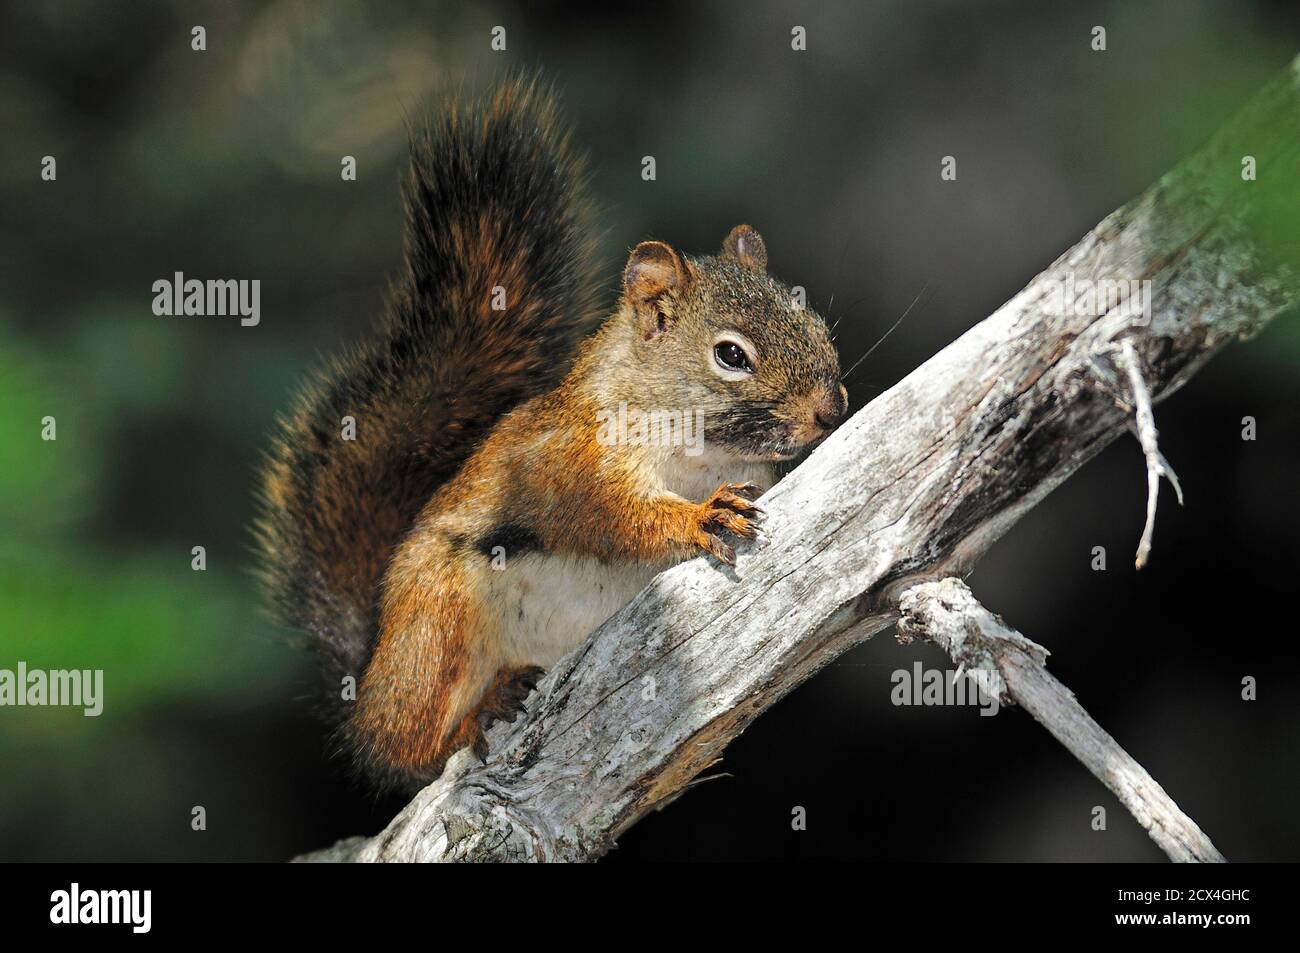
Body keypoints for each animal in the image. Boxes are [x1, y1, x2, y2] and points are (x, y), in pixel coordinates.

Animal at [255, 77, 847, 793]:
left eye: (812, 318)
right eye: (730, 355)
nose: (831, 409)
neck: (700, 450)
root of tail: (369, 678)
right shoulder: (572, 462)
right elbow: (611, 516)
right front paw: (700, 516)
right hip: (438, 620)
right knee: (408, 746)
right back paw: (477, 711)